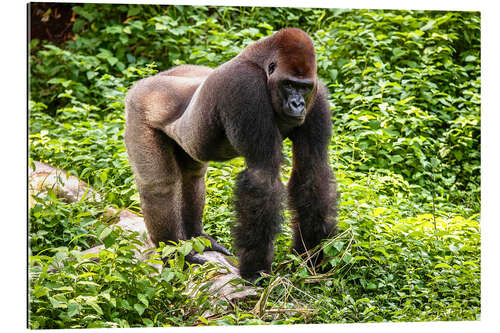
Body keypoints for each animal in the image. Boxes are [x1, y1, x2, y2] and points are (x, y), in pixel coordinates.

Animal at [123, 28, 338, 282]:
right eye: (288, 84)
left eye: (303, 87)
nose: (298, 104)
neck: (260, 62)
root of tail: (147, 81)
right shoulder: (245, 86)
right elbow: (261, 177)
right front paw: (256, 270)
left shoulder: (318, 96)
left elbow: (312, 172)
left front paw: (312, 256)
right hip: (140, 104)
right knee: (159, 186)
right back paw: (175, 254)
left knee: (192, 177)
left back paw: (196, 237)